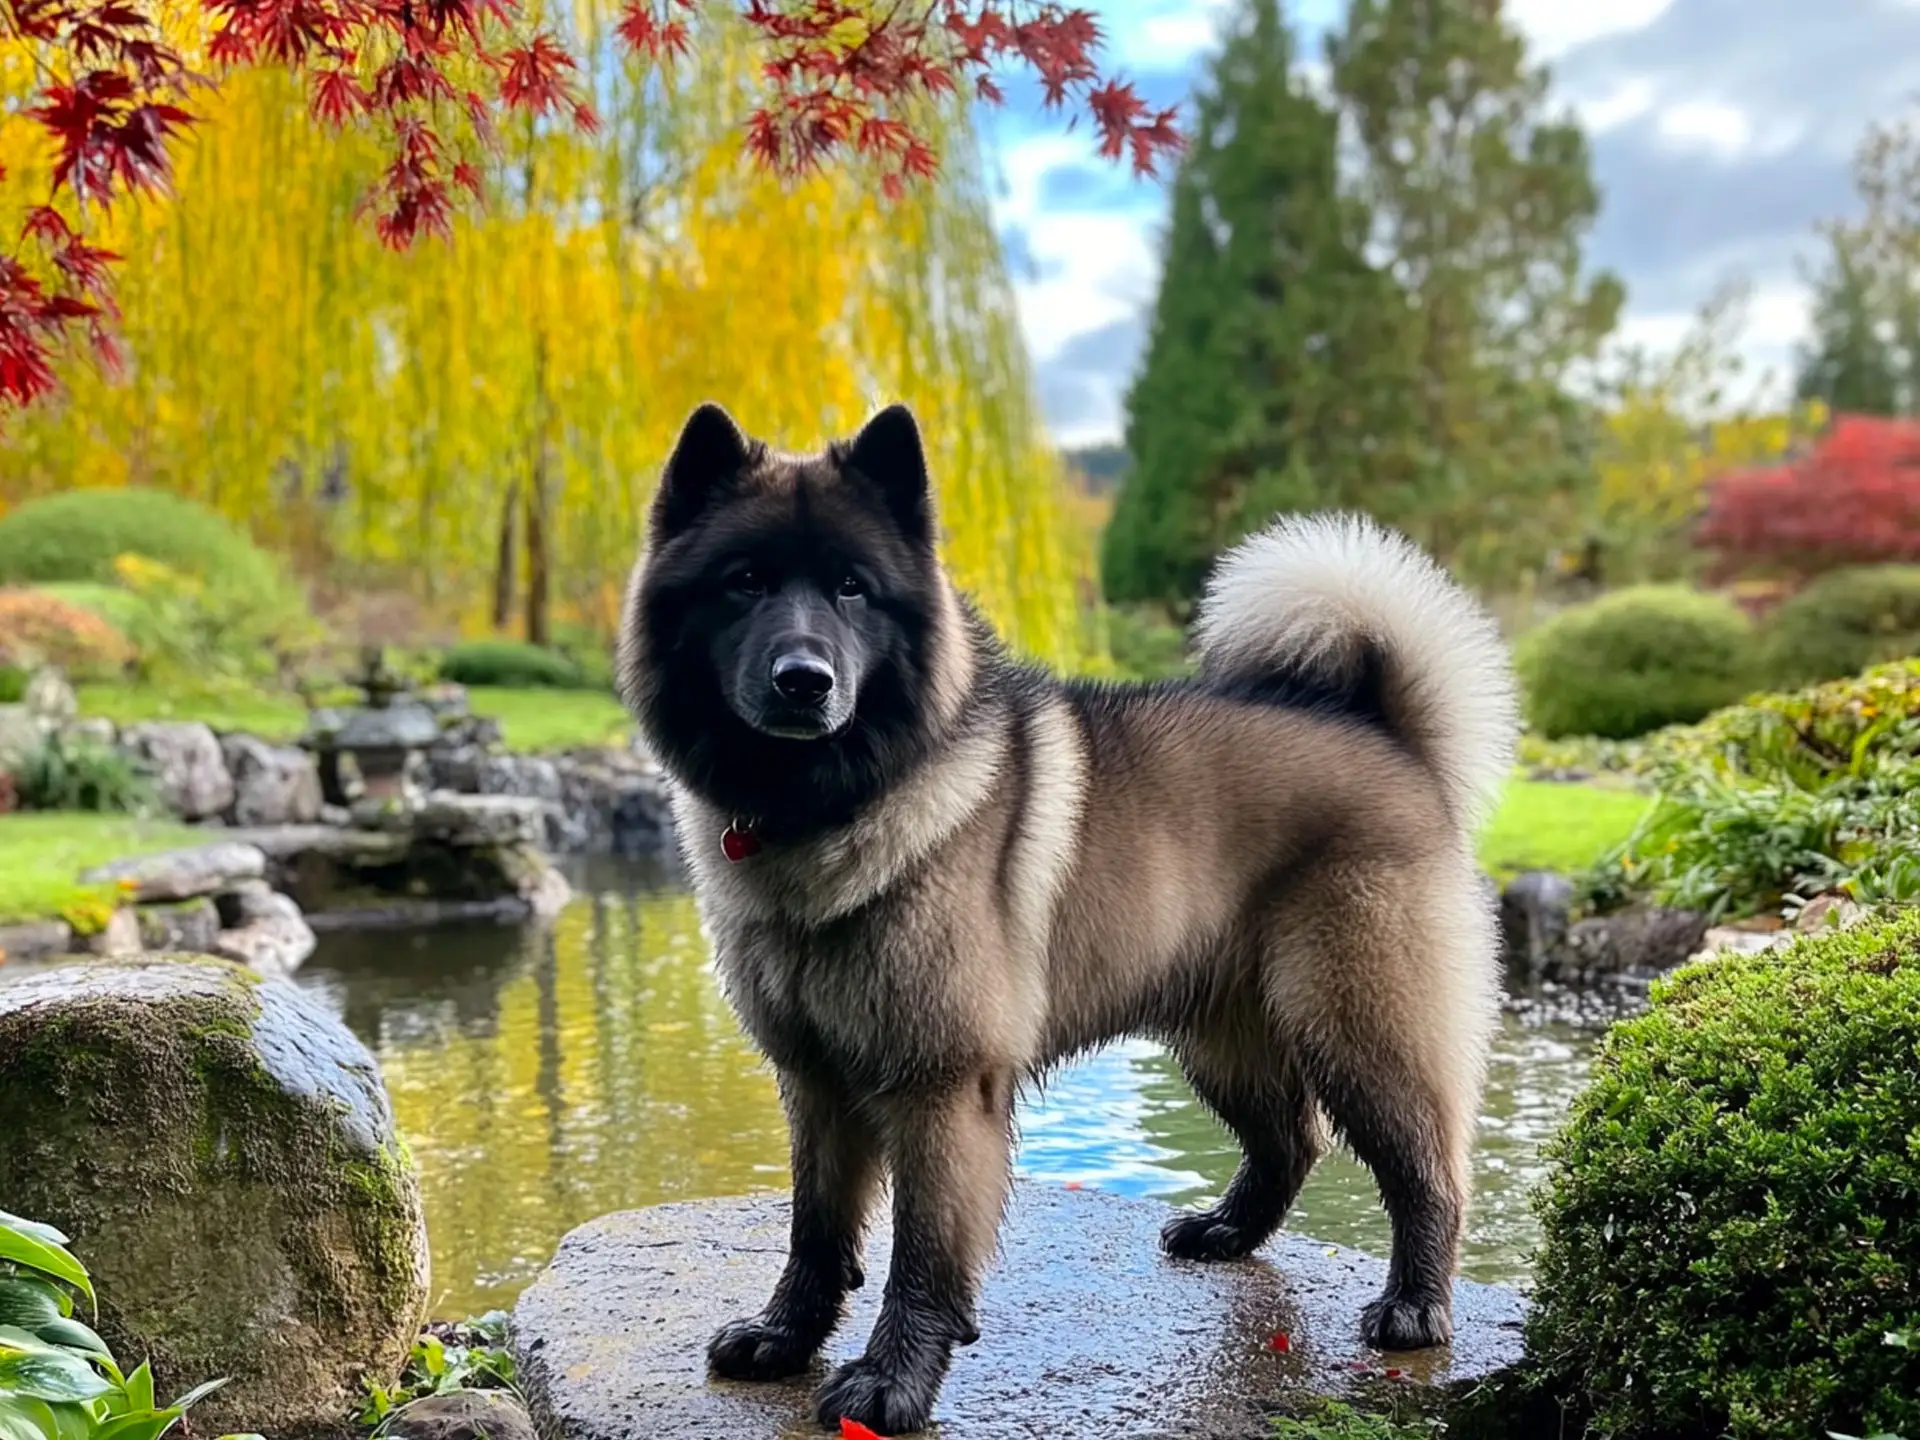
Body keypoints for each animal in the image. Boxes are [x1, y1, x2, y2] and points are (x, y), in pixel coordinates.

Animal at [622, 401, 1520, 1436]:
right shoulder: (816, 1080)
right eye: (744, 583)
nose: (803, 679)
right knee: (1290, 1141)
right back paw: (1225, 1231)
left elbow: (921, 1258)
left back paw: (1415, 1307)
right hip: (1224, 1033)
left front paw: (892, 1383)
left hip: (1357, 1030)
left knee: (1426, 1175)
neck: (823, 809)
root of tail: (1386, 733)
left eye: (852, 588)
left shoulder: (939, 1088)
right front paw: (784, 1337)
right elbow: (817, 1231)